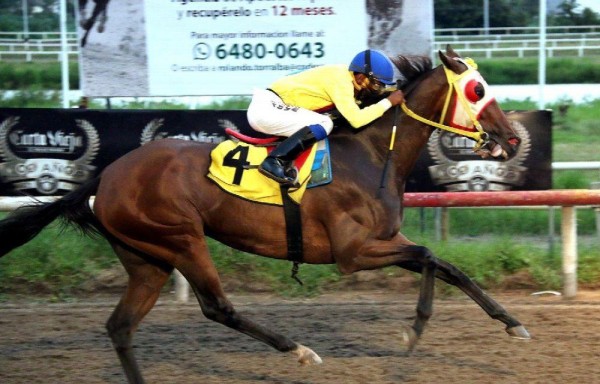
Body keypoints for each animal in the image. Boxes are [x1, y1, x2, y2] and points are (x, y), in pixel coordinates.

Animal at [0, 46, 528, 382]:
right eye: (477, 90)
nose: (512, 138)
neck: (374, 153)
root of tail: (105, 177)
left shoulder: (381, 242)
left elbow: (445, 264)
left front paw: (510, 323)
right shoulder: (353, 252)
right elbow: (427, 255)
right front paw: (414, 329)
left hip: (146, 257)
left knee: (120, 327)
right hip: (180, 238)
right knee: (217, 306)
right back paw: (299, 351)